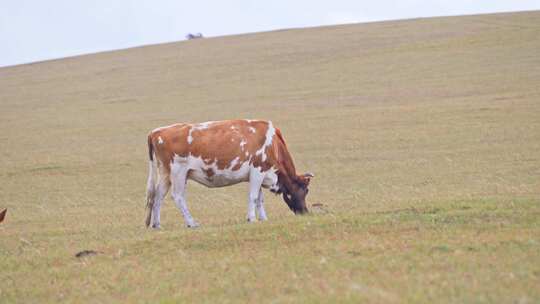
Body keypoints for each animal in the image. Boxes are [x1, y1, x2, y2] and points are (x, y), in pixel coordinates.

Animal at [144, 119, 312, 228]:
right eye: (305, 191)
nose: (305, 212)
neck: (273, 143)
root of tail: (155, 132)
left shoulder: (259, 174)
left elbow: (259, 199)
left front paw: (263, 218)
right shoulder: (258, 170)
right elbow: (253, 196)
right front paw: (252, 218)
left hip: (165, 174)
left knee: (158, 196)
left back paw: (157, 225)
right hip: (178, 172)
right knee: (178, 197)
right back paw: (192, 223)